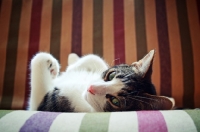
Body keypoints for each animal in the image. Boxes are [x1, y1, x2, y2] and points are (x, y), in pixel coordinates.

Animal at [28, 50, 175, 112]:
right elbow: (95, 58)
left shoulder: (45, 105)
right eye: (111, 75)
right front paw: (71, 65)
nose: (91, 87)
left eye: (115, 101)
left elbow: (39, 61)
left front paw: (52, 65)